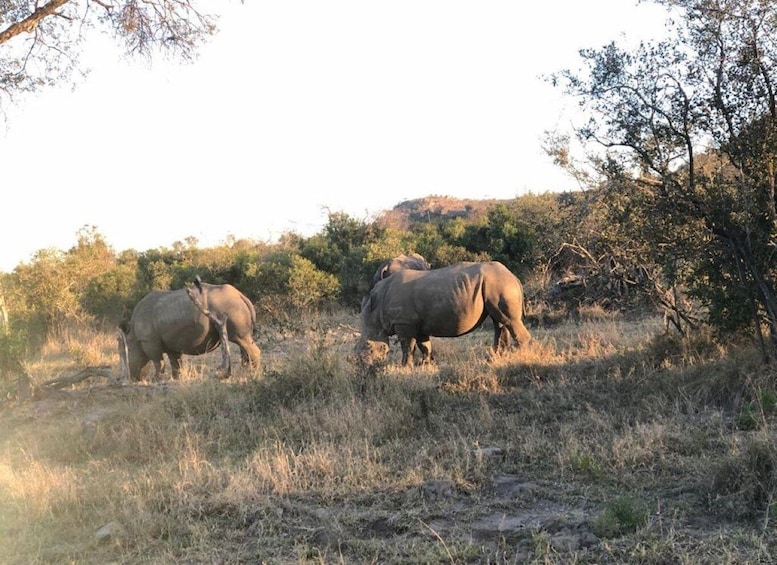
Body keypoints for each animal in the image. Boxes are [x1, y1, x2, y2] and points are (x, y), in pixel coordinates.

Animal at [116, 280, 260, 382]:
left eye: (126, 354)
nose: (128, 378)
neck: (132, 334)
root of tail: (241, 295)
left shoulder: (149, 341)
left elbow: (157, 361)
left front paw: (156, 379)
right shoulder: (170, 343)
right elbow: (175, 363)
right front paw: (176, 378)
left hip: (229, 306)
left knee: (240, 339)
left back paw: (252, 374)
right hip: (231, 307)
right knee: (243, 342)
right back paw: (245, 372)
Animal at [360, 262, 532, 366]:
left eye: (368, 345)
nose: (364, 364)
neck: (376, 306)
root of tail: (514, 276)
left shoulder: (404, 322)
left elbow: (407, 346)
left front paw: (404, 367)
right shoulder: (419, 324)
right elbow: (425, 345)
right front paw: (425, 365)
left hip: (501, 284)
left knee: (509, 321)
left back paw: (519, 357)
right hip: (496, 284)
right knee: (500, 322)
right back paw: (494, 359)